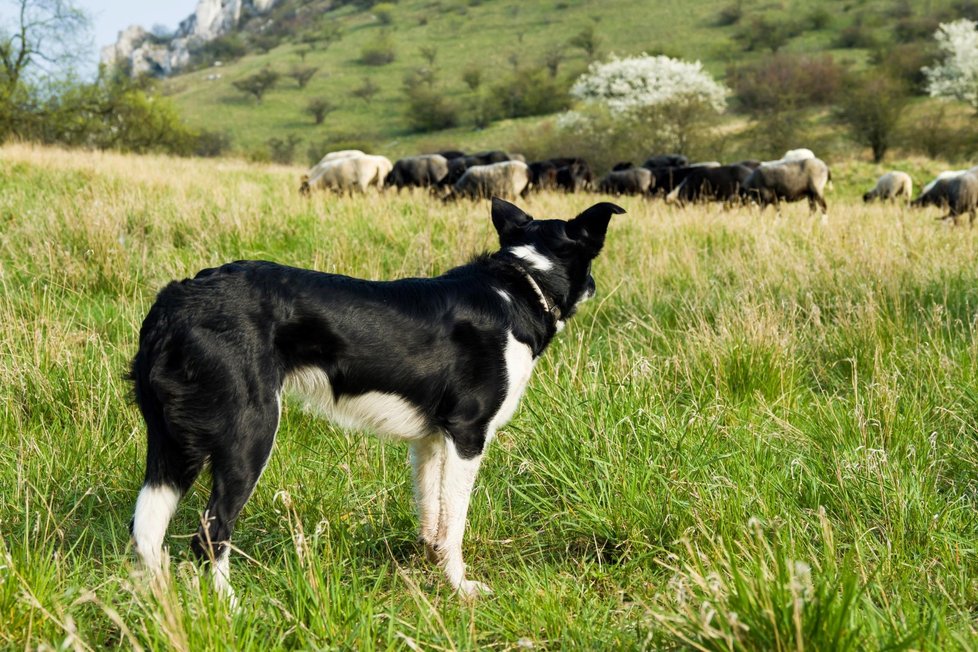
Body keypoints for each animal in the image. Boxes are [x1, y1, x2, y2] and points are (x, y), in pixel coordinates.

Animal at [127, 196, 616, 600]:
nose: (596, 286)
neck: (524, 282)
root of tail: (175, 300)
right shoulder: (467, 434)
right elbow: (455, 523)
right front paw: (460, 588)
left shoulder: (430, 440)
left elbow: (432, 515)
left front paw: (431, 570)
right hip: (250, 433)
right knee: (210, 533)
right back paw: (231, 608)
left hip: (171, 444)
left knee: (147, 531)